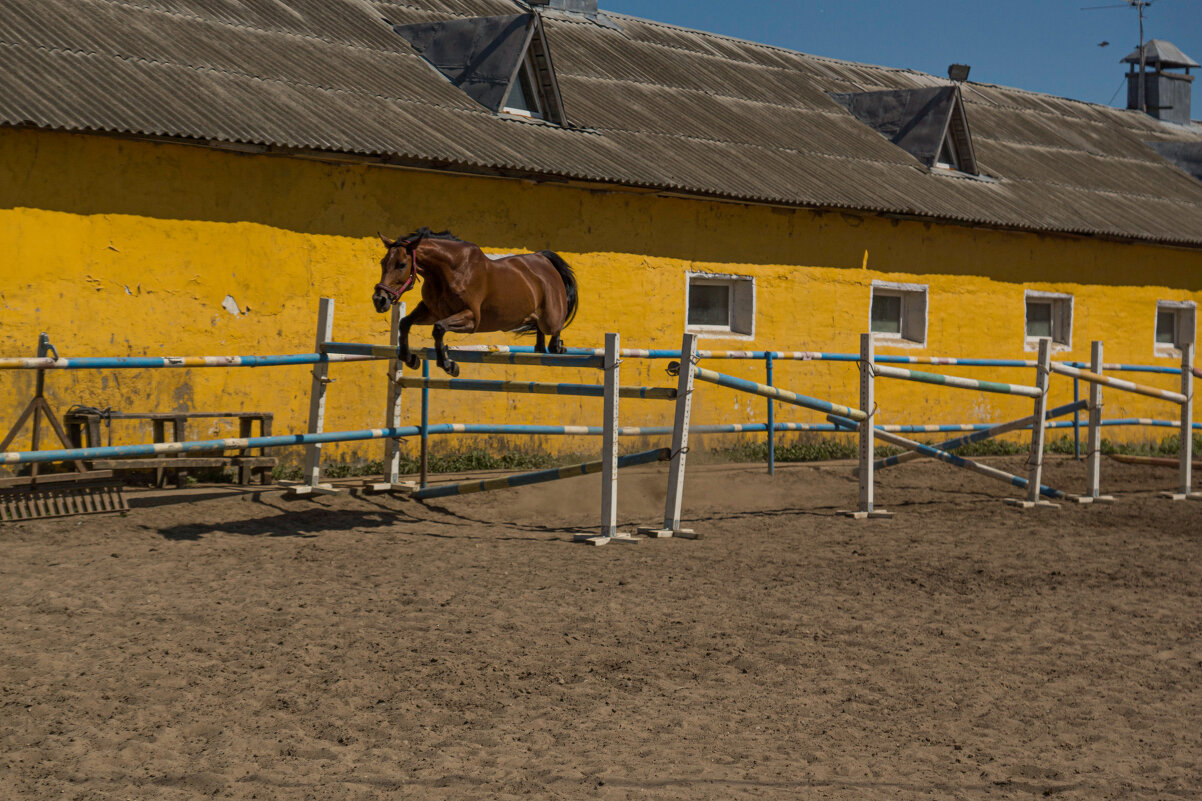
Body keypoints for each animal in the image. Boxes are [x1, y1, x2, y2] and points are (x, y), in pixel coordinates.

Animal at [375, 224, 581, 375]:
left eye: (402, 264)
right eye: (383, 263)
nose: (379, 300)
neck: (448, 271)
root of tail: (543, 259)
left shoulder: (471, 318)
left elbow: (439, 328)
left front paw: (449, 365)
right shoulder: (431, 311)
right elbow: (405, 323)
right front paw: (410, 359)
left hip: (551, 318)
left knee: (554, 331)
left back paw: (558, 347)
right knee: (540, 335)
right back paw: (540, 348)